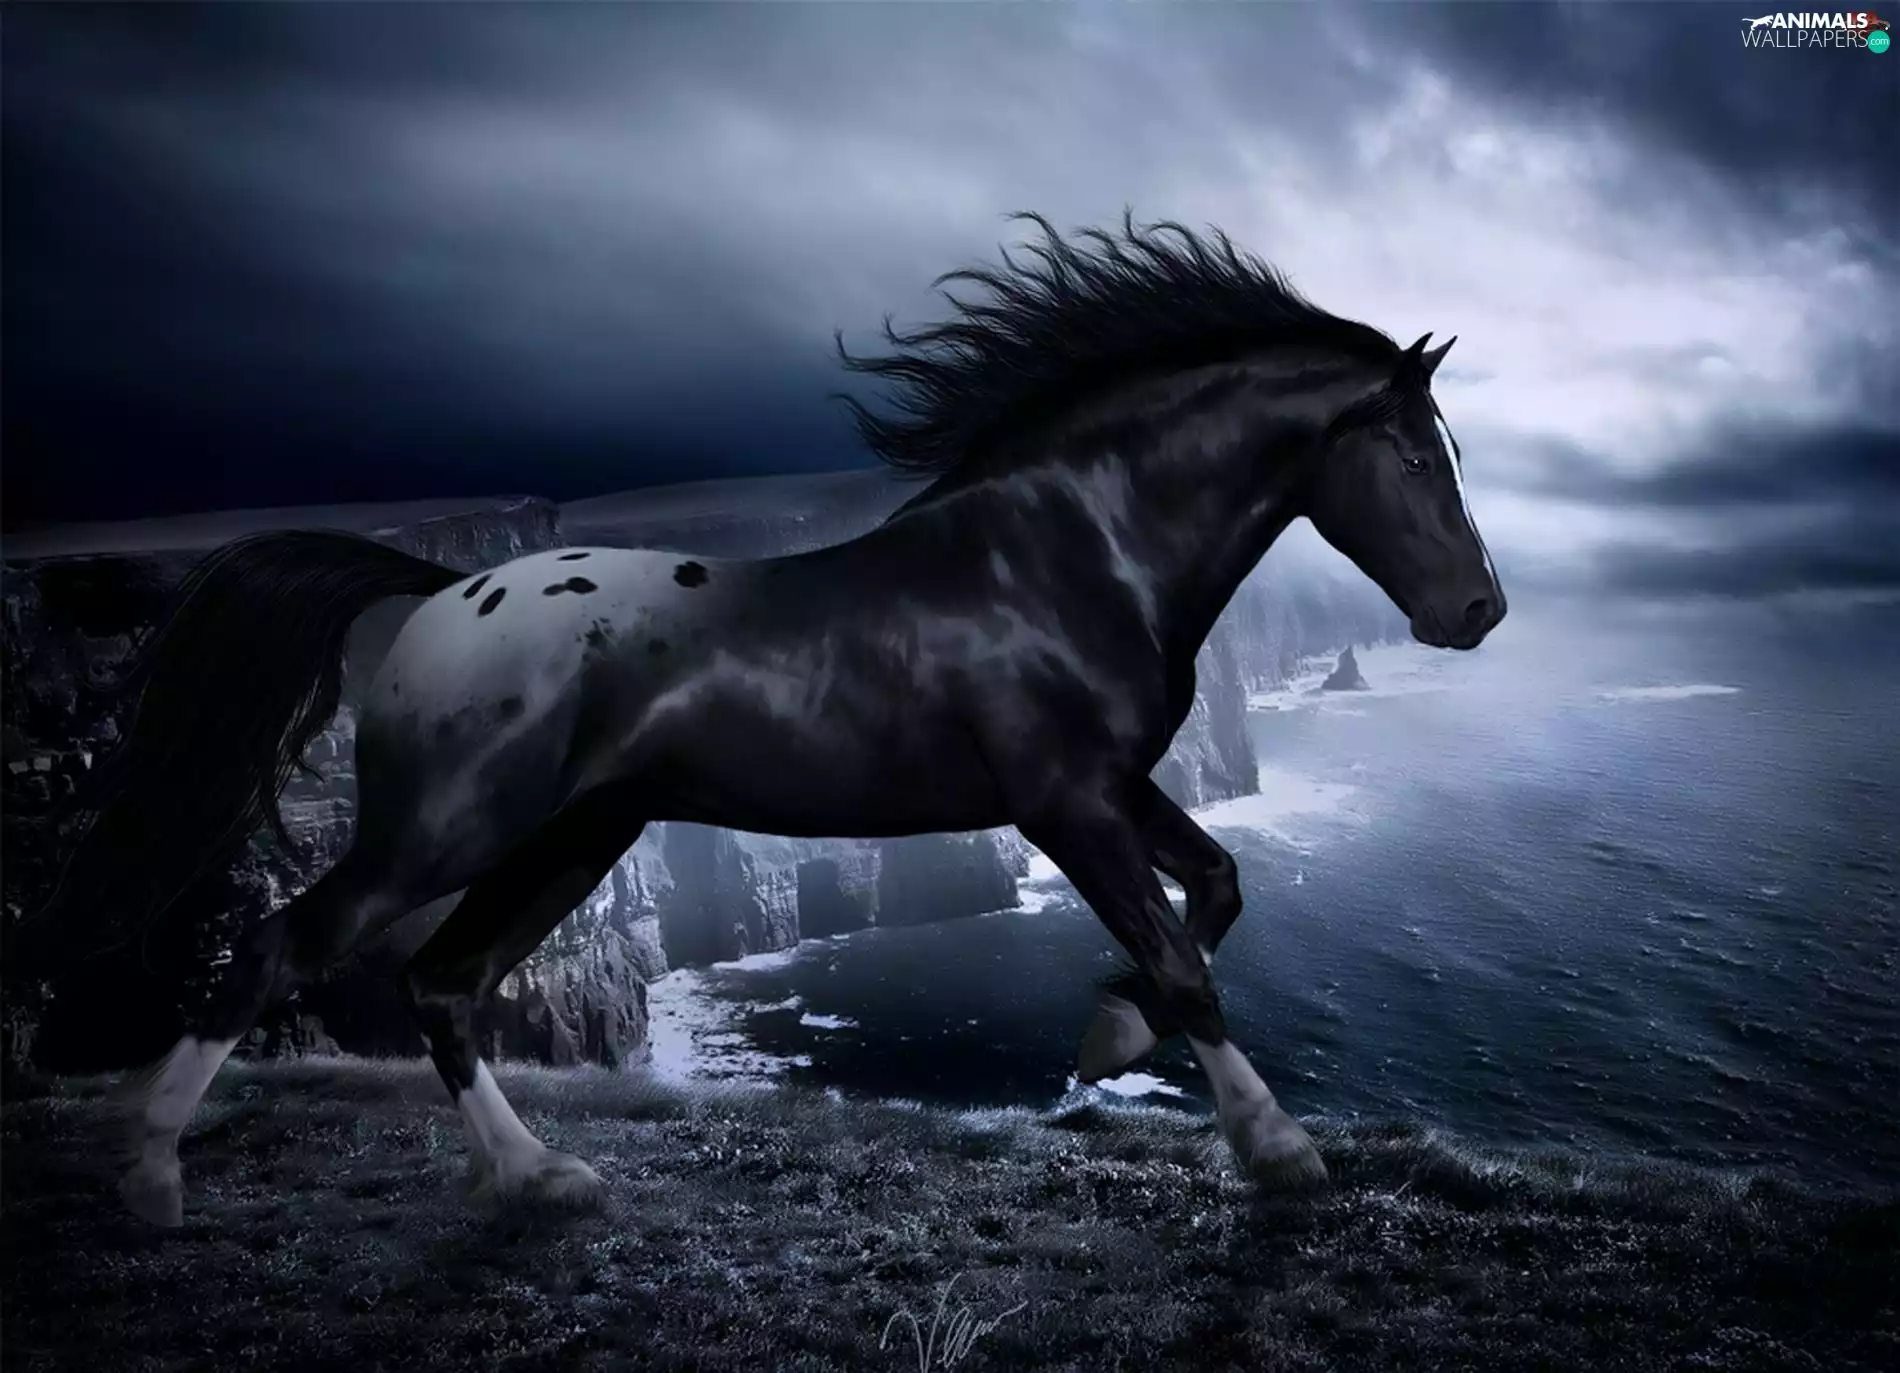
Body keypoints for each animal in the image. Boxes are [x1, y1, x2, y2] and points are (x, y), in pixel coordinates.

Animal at [43, 212, 1504, 1226]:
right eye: (1415, 454)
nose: (1480, 611)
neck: (1065, 551)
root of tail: (440, 588)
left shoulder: (1114, 783)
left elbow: (1219, 884)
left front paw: (1111, 1029)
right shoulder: (1064, 801)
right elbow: (1188, 953)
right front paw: (1278, 1148)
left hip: (569, 839)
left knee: (442, 983)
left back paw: (540, 1179)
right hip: (446, 829)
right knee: (284, 947)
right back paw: (150, 1177)